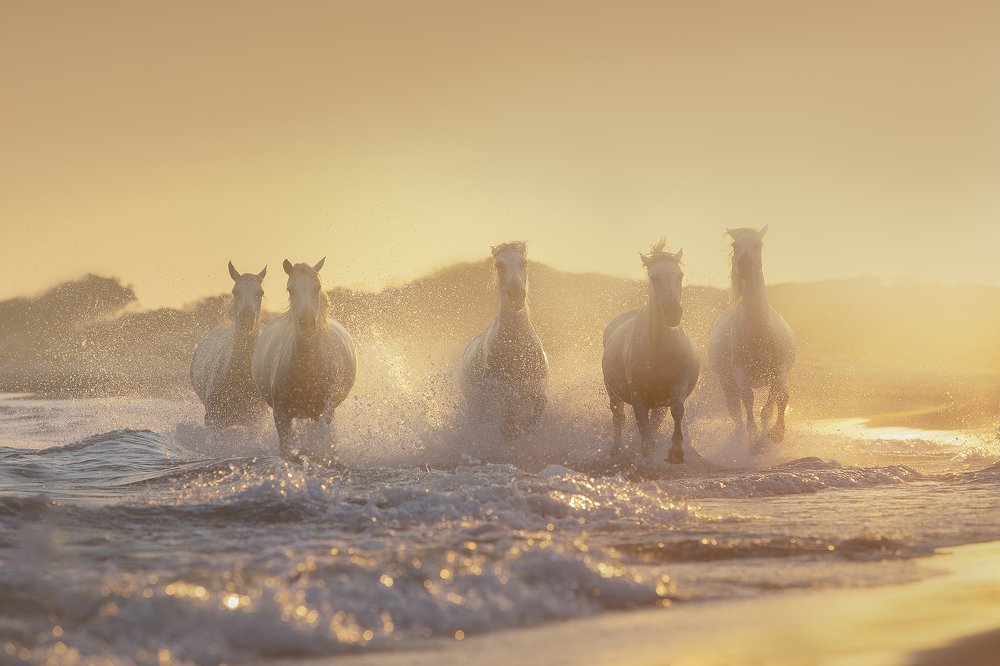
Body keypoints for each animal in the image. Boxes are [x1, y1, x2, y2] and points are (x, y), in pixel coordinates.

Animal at [251, 258, 357, 460]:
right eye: (290, 289)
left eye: (317, 287)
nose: (307, 324)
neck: (306, 367)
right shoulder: (281, 413)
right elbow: (287, 448)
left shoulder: (323, 412)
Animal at [461, 241, 548, 439]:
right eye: (498, 265)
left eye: (524, 262)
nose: (516, 296)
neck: (516, 345)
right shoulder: (499, 389)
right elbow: (508, 414)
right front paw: (513, 430)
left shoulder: (536, 384)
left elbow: (539, 405)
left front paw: (528, 429)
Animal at [602, 239, 700, 464]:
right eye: (653, 277)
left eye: (680, 275)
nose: (673, 313)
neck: (658, 348)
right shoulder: (638, 396)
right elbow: (641, 425)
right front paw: (646, 457)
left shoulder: (677, 385)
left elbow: (677, 410)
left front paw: (675, 452)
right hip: (613, 393)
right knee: (618, 418)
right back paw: (615, 451)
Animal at [707, 226, 796, 447]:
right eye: (734, 244)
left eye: (759, 244)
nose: (745, 266)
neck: (758, 330)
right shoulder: (739, 369)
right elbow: (747, 397)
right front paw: (753, 434)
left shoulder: (779, 367)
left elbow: (783, 397)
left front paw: (777, 434)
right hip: (727, 381)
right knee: (736, 411)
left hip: (771, 377)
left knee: (770, 404)